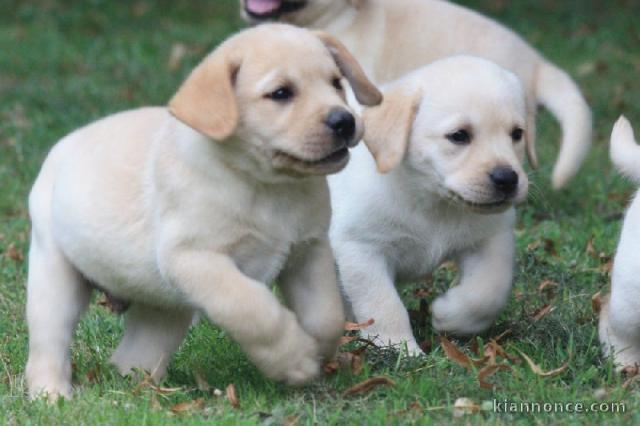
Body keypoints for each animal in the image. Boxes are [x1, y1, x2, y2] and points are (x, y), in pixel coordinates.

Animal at [27, 25, 382, 402]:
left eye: (336, 83)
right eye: (281, 93)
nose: (344, 121)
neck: (264, 186)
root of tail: (63, 144)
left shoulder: (308, 251)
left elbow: (325, 315)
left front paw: (318, 350)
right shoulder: (195, 258)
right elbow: (253, 308)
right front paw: (294, 359)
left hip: (164, 308)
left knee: (133, 356)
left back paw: (143, 391)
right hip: (54, 278)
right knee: (48, 345)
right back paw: (51, 395)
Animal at [328, 55, 528, 356]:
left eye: (517, 134)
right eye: (459, 135)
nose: (507, 179)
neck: (431, 200)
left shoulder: (491, 239)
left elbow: (488, 290)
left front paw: (450, 315)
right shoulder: (360, 248)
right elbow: (384, 303)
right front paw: (399, 348)